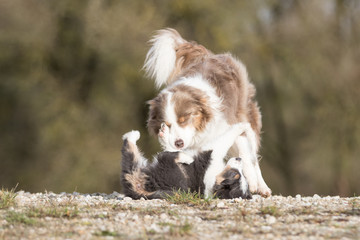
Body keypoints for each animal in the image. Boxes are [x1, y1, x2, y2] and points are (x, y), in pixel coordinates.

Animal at [120, 123, 250, 200]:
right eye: (238, 174)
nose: (239, 158)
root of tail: (138, 189)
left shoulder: (212, 152)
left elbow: (225, 139)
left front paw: (242, 125)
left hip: (169, 170)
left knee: (165, 155)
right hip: (133, 165)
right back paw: (135, 134)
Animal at [143, 28, 270, 197]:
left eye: (185, 119)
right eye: (167, 124)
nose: (179, 143)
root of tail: (207, 54)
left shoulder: (233, 120)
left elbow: (244, 149)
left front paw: (252, 181)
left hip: (248, 115)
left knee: (253, 154)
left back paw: (262, 186)